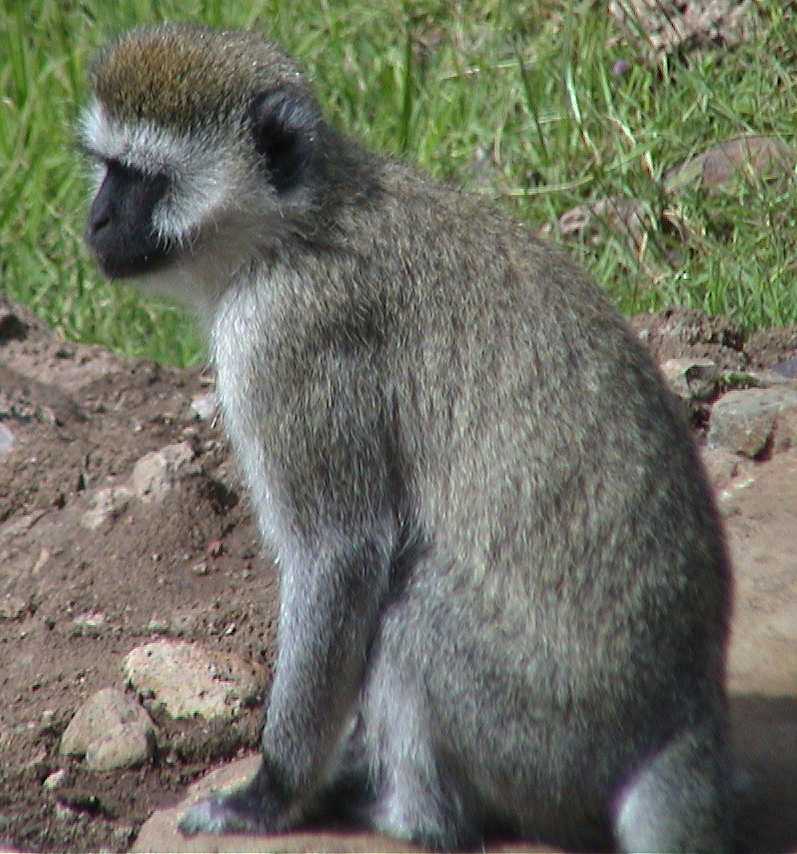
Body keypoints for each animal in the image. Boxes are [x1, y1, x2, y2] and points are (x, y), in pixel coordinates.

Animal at [81, 23, 733, 852]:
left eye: (142, 179)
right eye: (107, 169)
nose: (95, 222)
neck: (297, 224)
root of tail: (682, 719)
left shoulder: (285, 339)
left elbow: (338, 553)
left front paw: (272, 793)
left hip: (545, 730)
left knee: (407, 620)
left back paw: (413, 818)